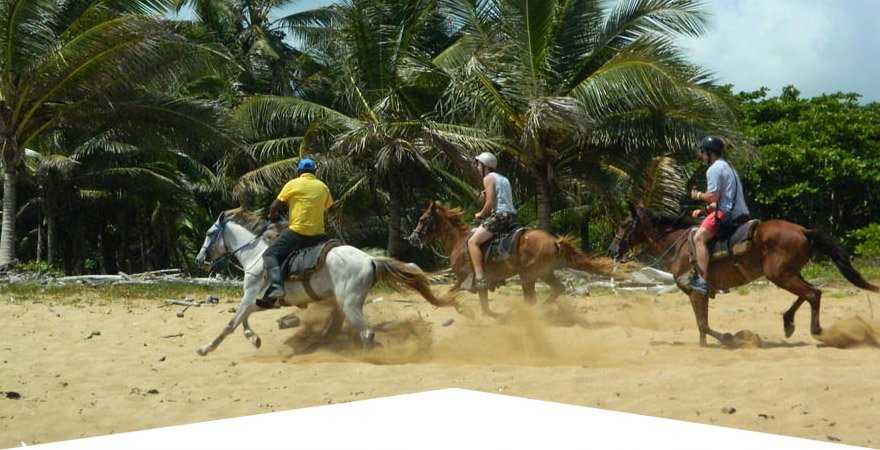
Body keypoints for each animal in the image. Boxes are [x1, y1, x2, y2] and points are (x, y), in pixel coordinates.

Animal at [192, 209, 454, 356]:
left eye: (209, 233)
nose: (199, 260)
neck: (256, 254)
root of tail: (370, 259)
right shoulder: (258, 301)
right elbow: (243, 321)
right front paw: (253, 338)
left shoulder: (250, 296)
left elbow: (231, 324)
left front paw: (206, 349)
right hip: (343, 303)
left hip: (350, 305)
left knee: (366, 333)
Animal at [404, 200, 612, 316]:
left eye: (422, 219)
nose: (412, 238)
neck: (460, 241)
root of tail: (555, 241)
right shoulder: (479, 285)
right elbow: (485, 307)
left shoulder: (463, 278)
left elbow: (448, 294)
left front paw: (457, 308)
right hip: (544, 274)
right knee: (557, 289)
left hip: (528, 277)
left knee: (532, 299)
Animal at [612, 205, 880, 348]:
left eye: (624, 224)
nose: (613, 250)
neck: (678, 245)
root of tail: (803, 230)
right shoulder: (700, 293)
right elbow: (702, 324)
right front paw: (706, 344)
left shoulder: (695, 291)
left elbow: (703, 324)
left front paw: (727, 338)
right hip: (788, 273)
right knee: (813, 292)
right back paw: (788, 322)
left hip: (780, 275)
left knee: (812, 293)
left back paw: (815, 329)